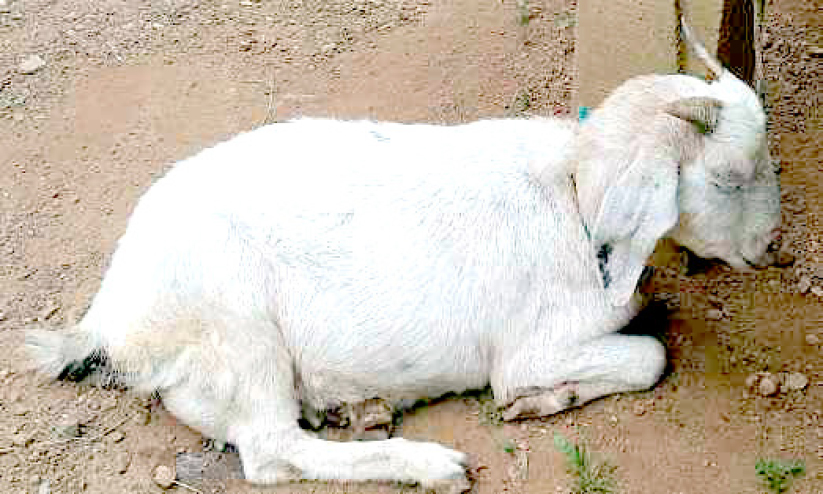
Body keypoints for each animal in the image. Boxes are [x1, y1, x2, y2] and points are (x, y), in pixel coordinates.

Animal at [26, 19, 786, 491]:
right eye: (728, 179)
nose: (768, 245)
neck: (573, 197)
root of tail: (111, 322)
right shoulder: (534, 347)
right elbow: (648, 358)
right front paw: (538, 402)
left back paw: (354, 411)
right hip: (235, 329)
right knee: (271, 451)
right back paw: (429, 464)